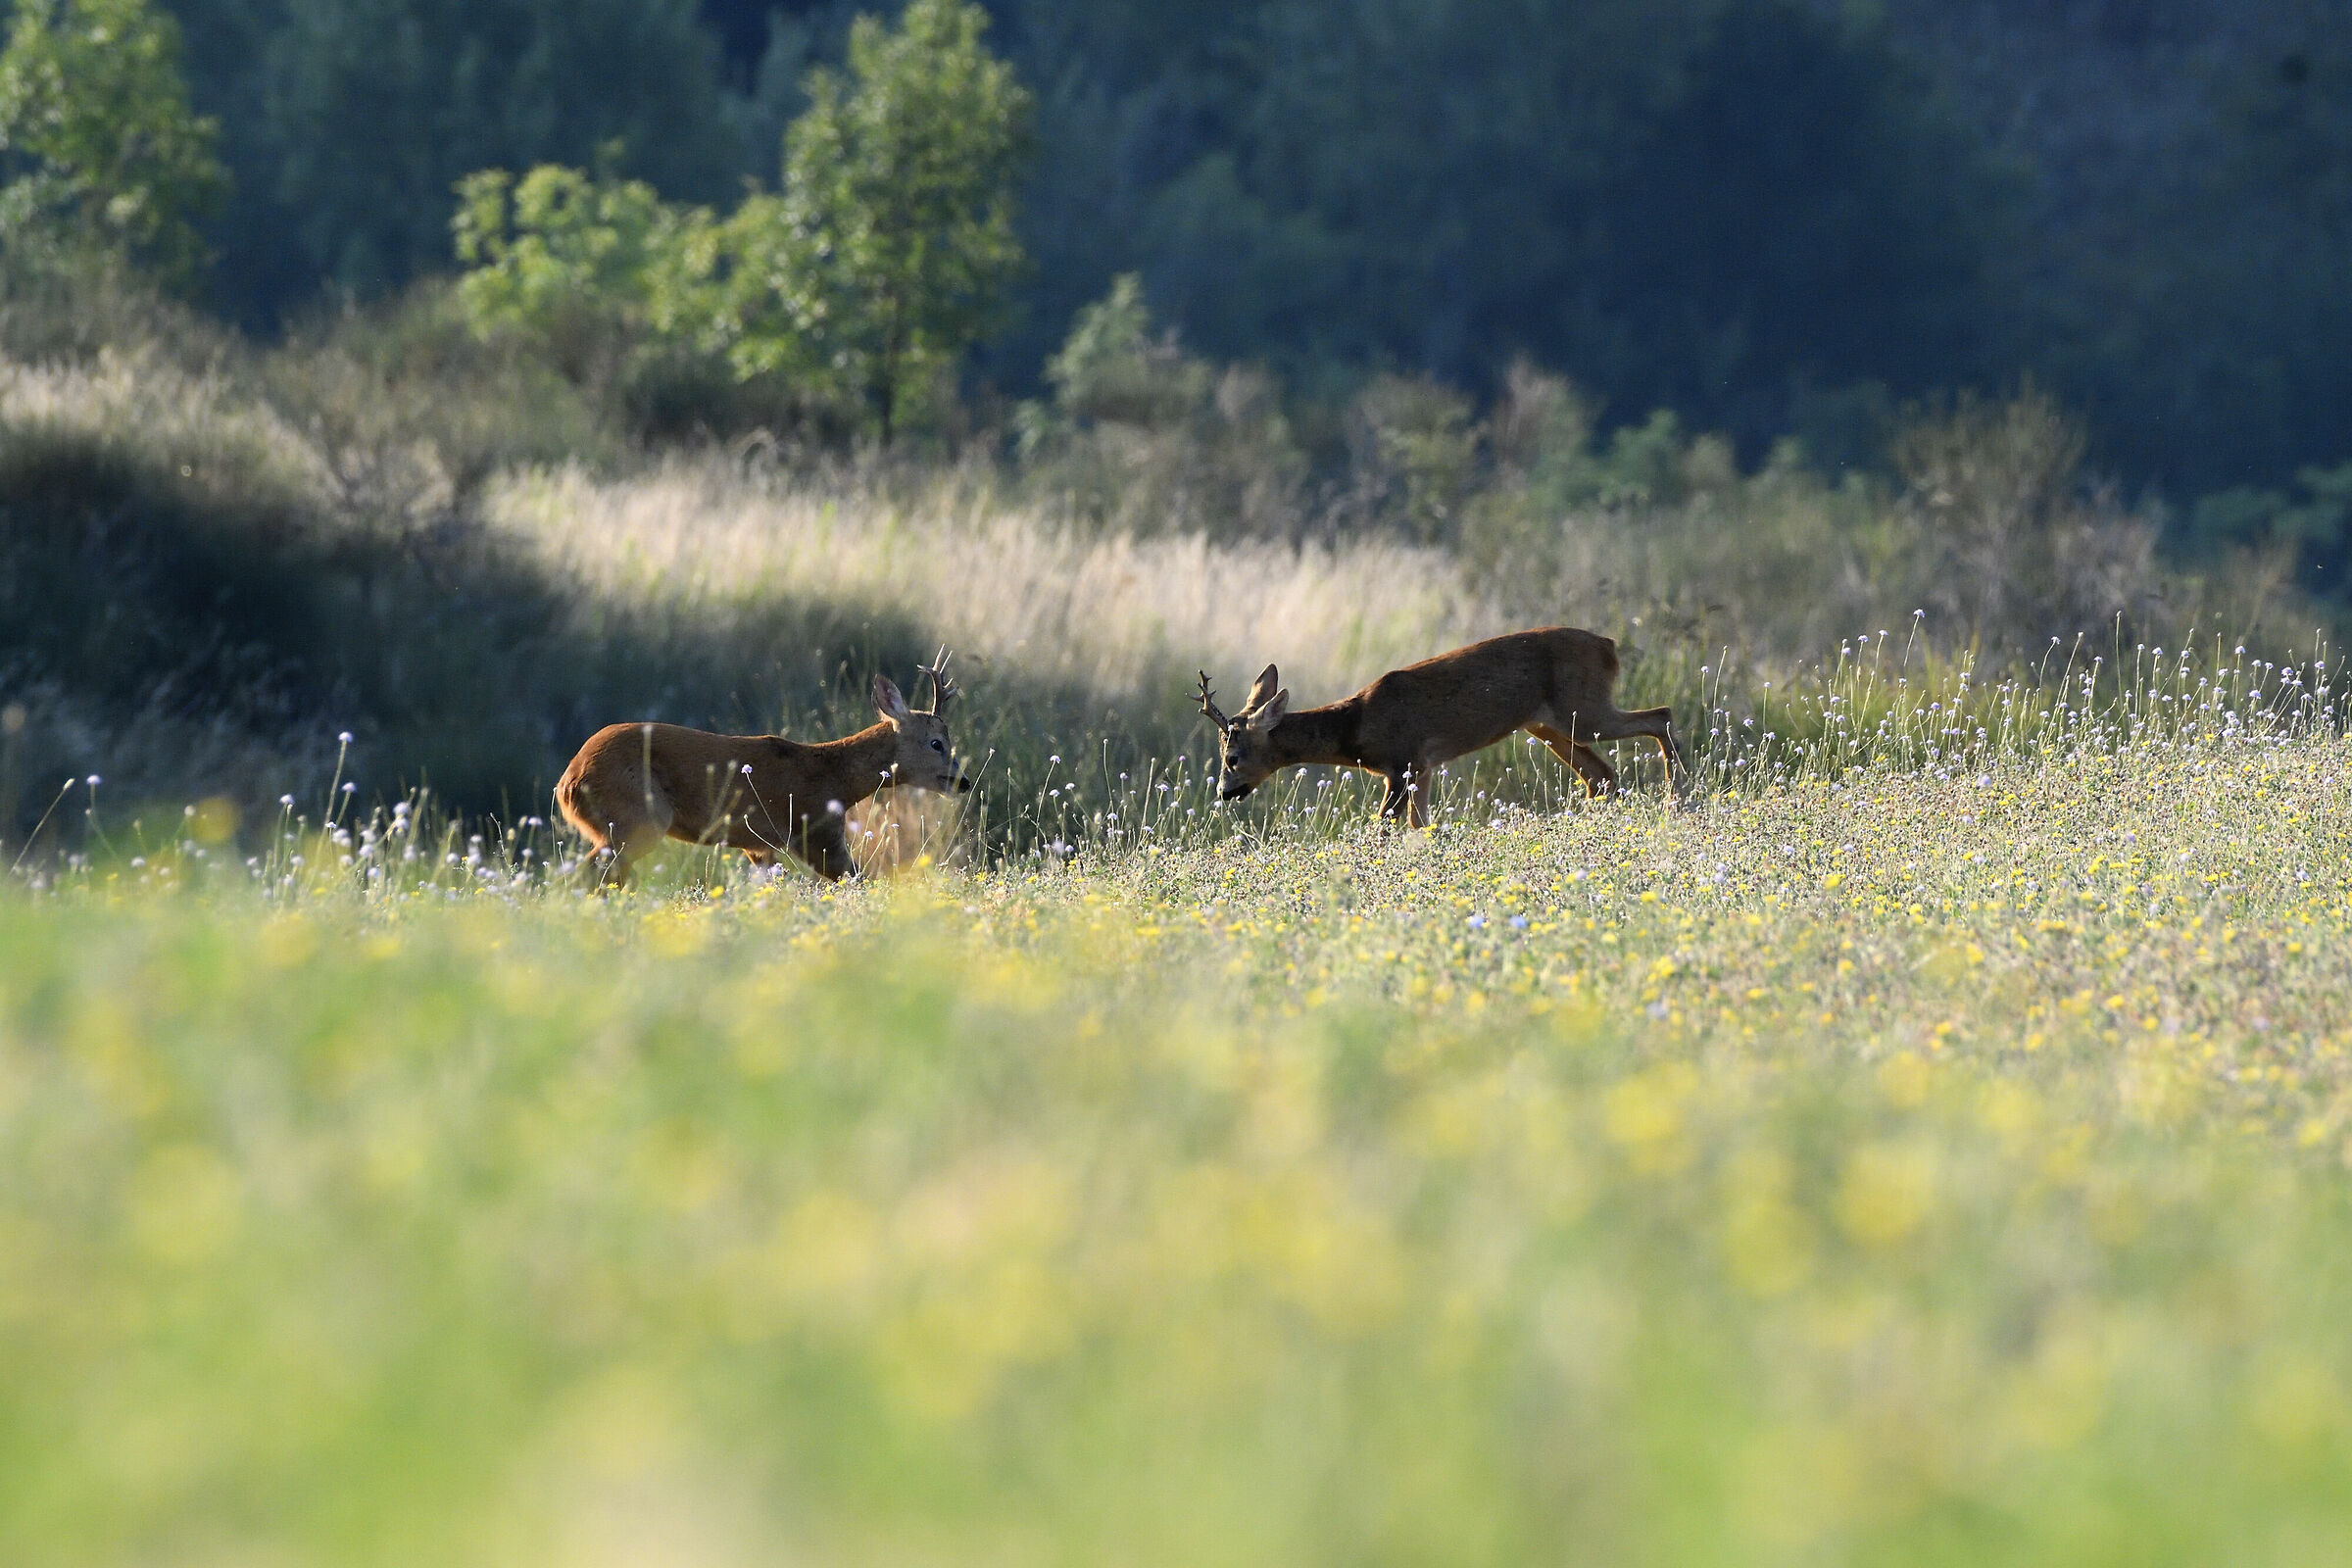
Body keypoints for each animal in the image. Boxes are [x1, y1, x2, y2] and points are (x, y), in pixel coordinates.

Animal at [555, 653, 972, 886]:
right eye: (937, 743)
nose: (963, 781)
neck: (833, 778)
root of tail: (568, 782)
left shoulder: (759, 847)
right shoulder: (814, 831)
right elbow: (862, 880)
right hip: (637, 817)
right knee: (592, 873)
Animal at [1198, 627, 1689, 826]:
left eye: (1232, 757)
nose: (1223, 792)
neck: (1356, 726)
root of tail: (1609, 647)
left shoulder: (1403, 763)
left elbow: (1383, 827)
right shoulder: (1424, 768)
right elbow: (1422, 827)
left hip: (1583, 711)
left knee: (1661, 715)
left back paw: (1677, 798)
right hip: (1548, 725)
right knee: (1602, 775)